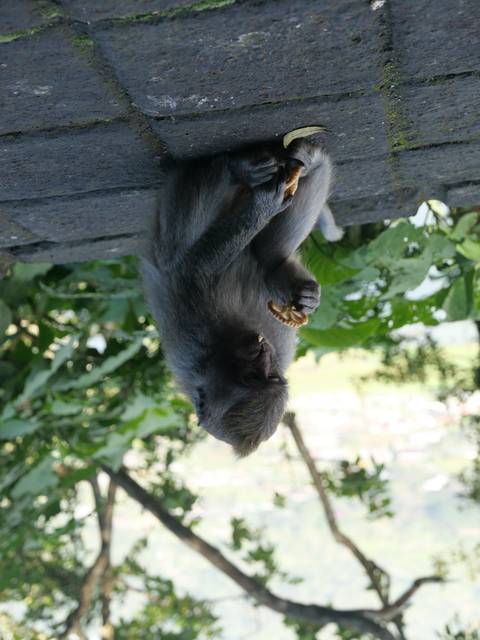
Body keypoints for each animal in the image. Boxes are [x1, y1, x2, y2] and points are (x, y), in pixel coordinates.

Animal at [142, 138, 342, 456]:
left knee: (266, 254)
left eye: (268, 375)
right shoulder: (197, 342)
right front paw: (263, 205)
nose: (260, 350)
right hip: (173, 216)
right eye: (255, 378)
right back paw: (240, 172)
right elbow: (193, 269)